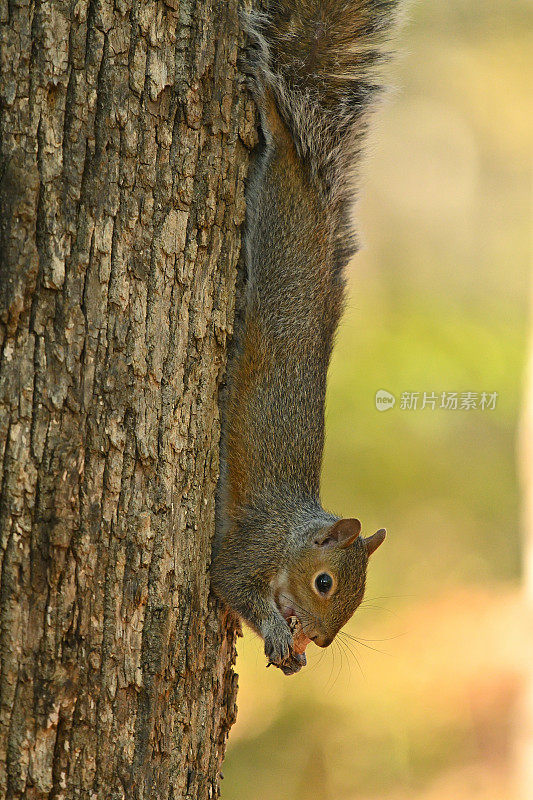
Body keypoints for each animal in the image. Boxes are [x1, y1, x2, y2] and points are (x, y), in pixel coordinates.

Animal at [211, 0, 400, 676]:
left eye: (355, 600)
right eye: (324, 583)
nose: (318, 640)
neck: (293, 533)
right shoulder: (247, 547)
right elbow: (228, 582)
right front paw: (273, 628)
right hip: (275, 203)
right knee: (281, 138)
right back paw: (266, 96)